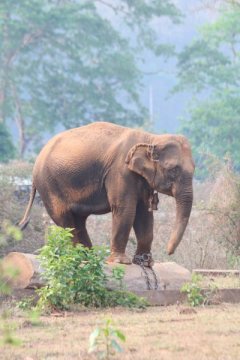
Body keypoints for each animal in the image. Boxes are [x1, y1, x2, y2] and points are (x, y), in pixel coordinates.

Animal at [18, 122, 195, 266]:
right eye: (173, 170)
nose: (168, 252)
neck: (151, 138)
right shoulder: (120, 172)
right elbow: (125, 209)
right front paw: (121, 262)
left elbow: (144, 214)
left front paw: (145, 263)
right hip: (49, 185)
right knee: (64, 218)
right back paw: (77, 256)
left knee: (78, 221)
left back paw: (89, 257)